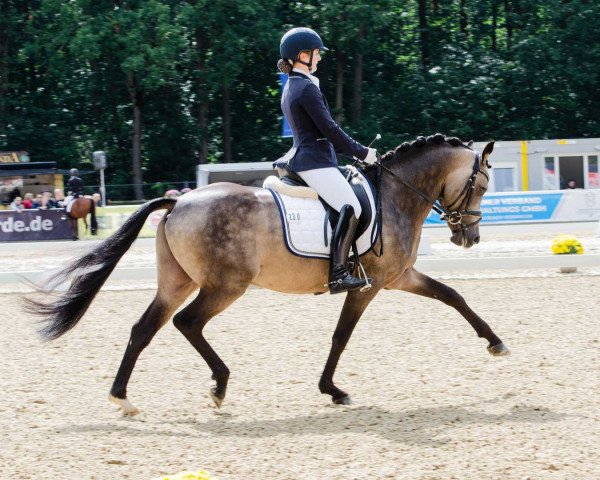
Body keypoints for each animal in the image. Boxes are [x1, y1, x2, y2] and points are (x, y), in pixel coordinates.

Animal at [25, 135, 508, 416]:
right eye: (483, 185)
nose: (470, 238)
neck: (393, 195)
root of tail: (179, 201)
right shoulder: (370, 286)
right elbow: (341, 336)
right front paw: (333, 389)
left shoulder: (401, 276)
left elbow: (453, 296)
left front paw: (495, 342)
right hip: (225, 286)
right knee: (187, 323)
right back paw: (219, 385)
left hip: (177, 282)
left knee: (145, 328)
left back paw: (123, 397)